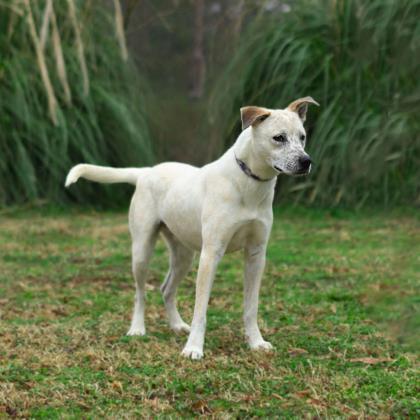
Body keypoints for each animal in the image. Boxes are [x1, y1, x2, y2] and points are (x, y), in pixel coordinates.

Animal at [65, 97, 318, 360]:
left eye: (302, 137)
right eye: (278, 138)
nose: (306, 162)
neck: (249, 182)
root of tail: (146, 172)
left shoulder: (256, 255)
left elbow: (251, 306)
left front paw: (256, 342)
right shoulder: (211, 254)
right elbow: (201, 309)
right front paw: (194, 348)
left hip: (184, 255)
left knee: (166, 289)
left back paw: (177, 325)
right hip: (142, 250)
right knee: (140, 292)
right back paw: (137, 328)